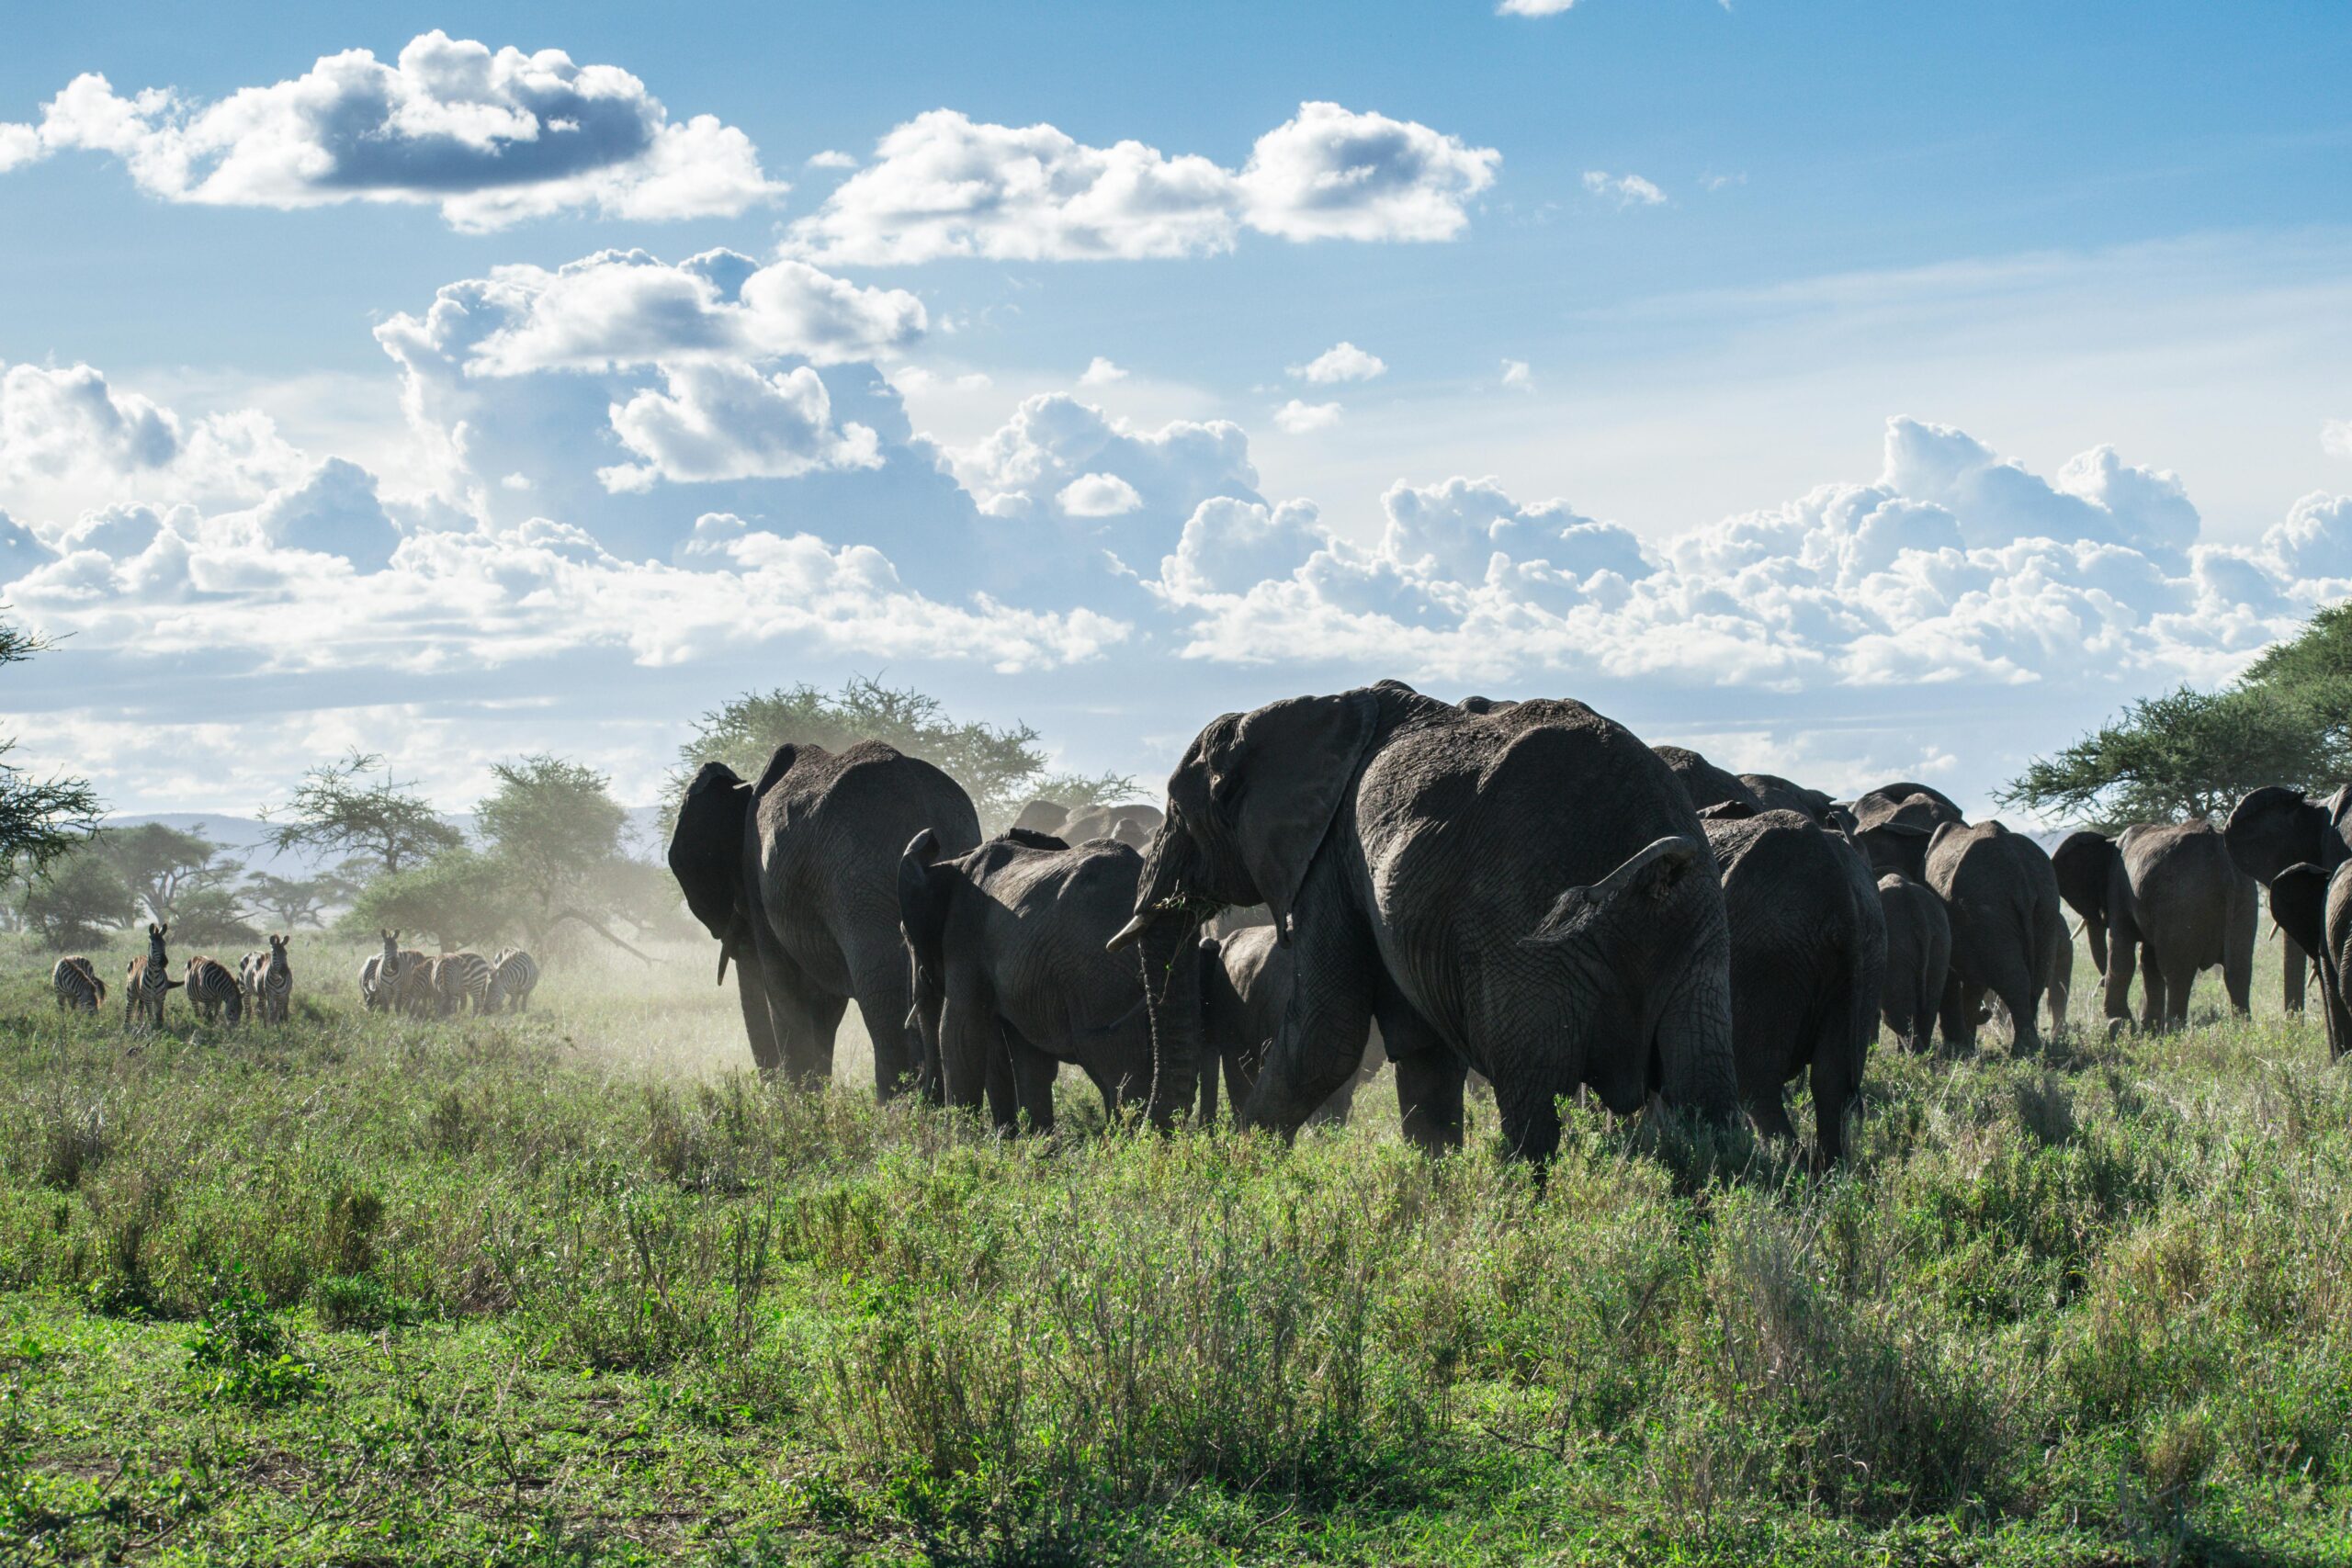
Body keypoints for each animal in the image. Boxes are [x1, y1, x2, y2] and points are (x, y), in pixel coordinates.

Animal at [669, 740, 981, 1095]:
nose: (767, 1092)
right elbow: (823, 1005)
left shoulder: (759, 882)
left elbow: (784, 987)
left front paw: (799, 1101)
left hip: (861, 885)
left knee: (881, 998)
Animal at [898, 828, 1164, 1131]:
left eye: (905, 935)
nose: (920, 1109)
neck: (955, 863)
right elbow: (1028, 1056)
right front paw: (1035, 1141)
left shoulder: (964, 936)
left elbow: (959, 1033)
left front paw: (962, 1139)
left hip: (1102, 979)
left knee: (1119, 1070)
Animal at [1701, 808, 1886, 1161]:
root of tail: (1840, 891)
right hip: (1868, 953)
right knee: (1831, 1080)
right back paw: (1831, 1168)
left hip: (1764, 955)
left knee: (1757, 1082)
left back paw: (1782, 1164)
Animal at [1925, 820, 2071, 1054]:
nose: (1986, 1012)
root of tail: (2021, 876)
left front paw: (1961, 1048)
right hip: (2046, 905)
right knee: (2038, 977)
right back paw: (2030, 1047)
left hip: (1987, 907)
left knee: (2014, 978)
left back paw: (2023, 1051)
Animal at [2052, 822, 2255, 1030]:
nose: (2100, 983)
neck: (2109, 841)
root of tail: (2218, 851)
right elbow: (2148, 961)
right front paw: (2148, 1029)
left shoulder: (2120, 891)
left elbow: (2121, 952)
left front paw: (2118, 1023)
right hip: (2244, 896)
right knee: (2238, 970)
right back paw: (2241, 1028)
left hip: (2182, 901)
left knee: (2177, 973)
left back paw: (2175, 1030)